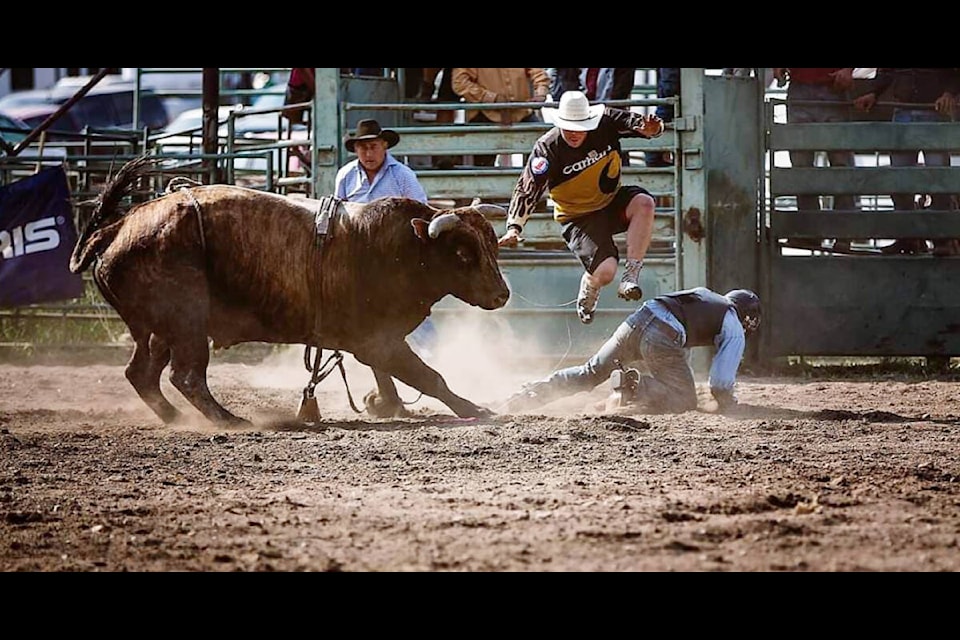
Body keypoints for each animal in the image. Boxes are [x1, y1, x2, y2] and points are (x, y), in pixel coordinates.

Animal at [68, 156, 512, 424]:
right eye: (462, 253)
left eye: (492, 245)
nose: (501, 295)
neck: (399, 248)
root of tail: (119, 227)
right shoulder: (376, 339)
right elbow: (428, 376)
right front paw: (473, 407)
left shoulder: (377, 339)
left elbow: (389, 376)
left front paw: (386, 405)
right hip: (186, 320)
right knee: (187, 376)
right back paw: (229, 420)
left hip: (160, 329)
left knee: (142, 373)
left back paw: (177, 419)